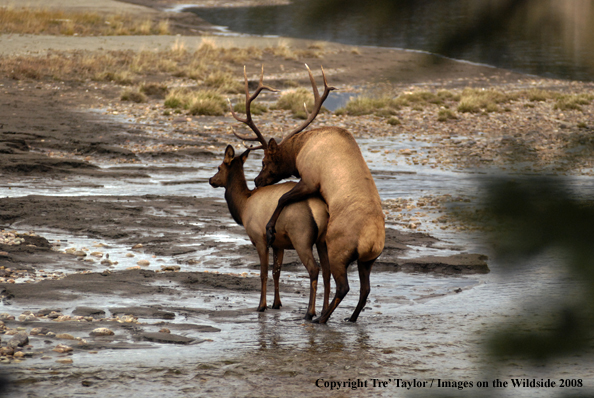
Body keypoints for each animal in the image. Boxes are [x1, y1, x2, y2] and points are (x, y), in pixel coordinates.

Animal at [208, 145, 328, 320]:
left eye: (219, 167)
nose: (211, 179)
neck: (243, 206)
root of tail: (318, 209)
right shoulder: (279, 244)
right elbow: (276, 272)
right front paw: (276, 303)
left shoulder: (260, 239)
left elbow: (263, 273)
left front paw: (261, 305)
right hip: (322, 240)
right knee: (328, 271)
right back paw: (324, 311)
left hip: (301, 238)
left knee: (314, 269)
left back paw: (310, 313)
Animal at [227, 65, 384, 324]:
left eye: (265, 161)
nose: (257, 181)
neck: (300, 148)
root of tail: (371, 241)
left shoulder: (310, 179)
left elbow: (283, 198)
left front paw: (270, 228)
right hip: (368, 260)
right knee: (365, 289)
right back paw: (349, 318)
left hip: (338, 248)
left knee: (343, 285)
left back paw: (320, 317)